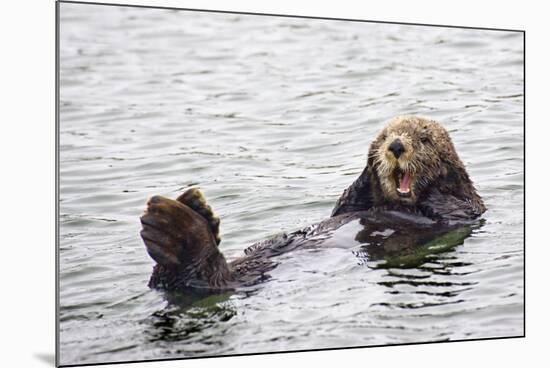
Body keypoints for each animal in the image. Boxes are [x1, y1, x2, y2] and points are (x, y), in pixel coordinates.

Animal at [141, 116, 488, 292]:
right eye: (387, 134)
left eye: (424, 140)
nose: (396, 145)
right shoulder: (352, 204)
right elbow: (346, 203)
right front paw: (368, 166)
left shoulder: (466, 208)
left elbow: (450, 205)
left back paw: (179, 227)